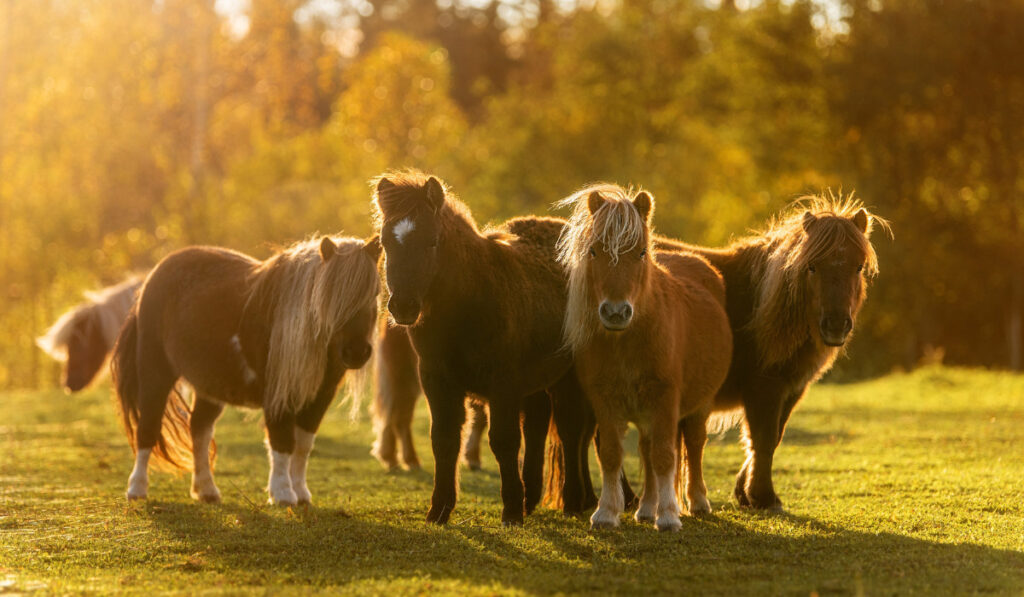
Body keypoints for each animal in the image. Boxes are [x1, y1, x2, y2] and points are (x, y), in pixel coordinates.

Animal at [110, 235, 380, 507]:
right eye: (330, 295)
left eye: (375, 293)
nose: (357, 352)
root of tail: (153, 276)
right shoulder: (278, 395)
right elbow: (282, 442)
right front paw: (282, 494)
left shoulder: (320, 397)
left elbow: (303, 446)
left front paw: (301, 493)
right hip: (155, 373)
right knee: (148, 428)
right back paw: (137, 489)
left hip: (209, 386)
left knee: (199, 431)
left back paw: (206, 490)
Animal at [557, 185, 733, 532]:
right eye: (594, 251)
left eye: (640, 252)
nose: (615, 312)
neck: (626, 341)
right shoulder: (604, 400)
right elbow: (613, 454)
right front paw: (606, 513)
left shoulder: (665, 398)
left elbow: (665, 455)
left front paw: (669, 517)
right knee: (647, 450)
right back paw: (647, 508)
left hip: (698, 406)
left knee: (694, 444)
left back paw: (697, 502)